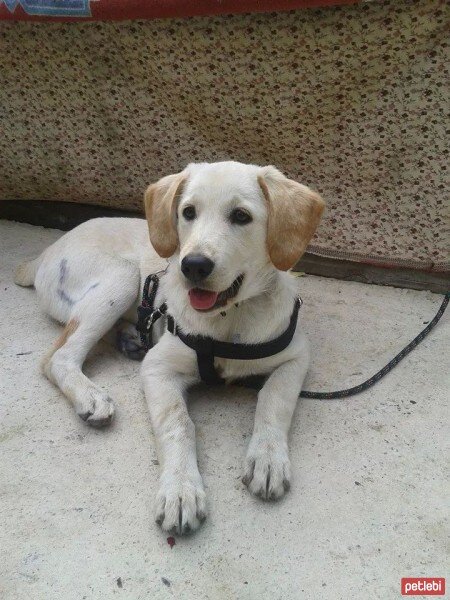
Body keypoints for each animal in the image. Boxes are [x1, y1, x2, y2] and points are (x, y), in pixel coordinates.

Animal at [14, 161, 324, 536]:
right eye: (188, 212)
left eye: (241, 216)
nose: (193, 265)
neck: (229, 319)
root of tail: (46, 252)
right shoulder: (158, 367)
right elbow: (178, 423)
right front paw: (180, 490)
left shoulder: (296, 356)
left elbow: (274, 401)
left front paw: (267, 457)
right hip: (123, 276)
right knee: (58, 357)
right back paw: (91, 396)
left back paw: (129, 339)